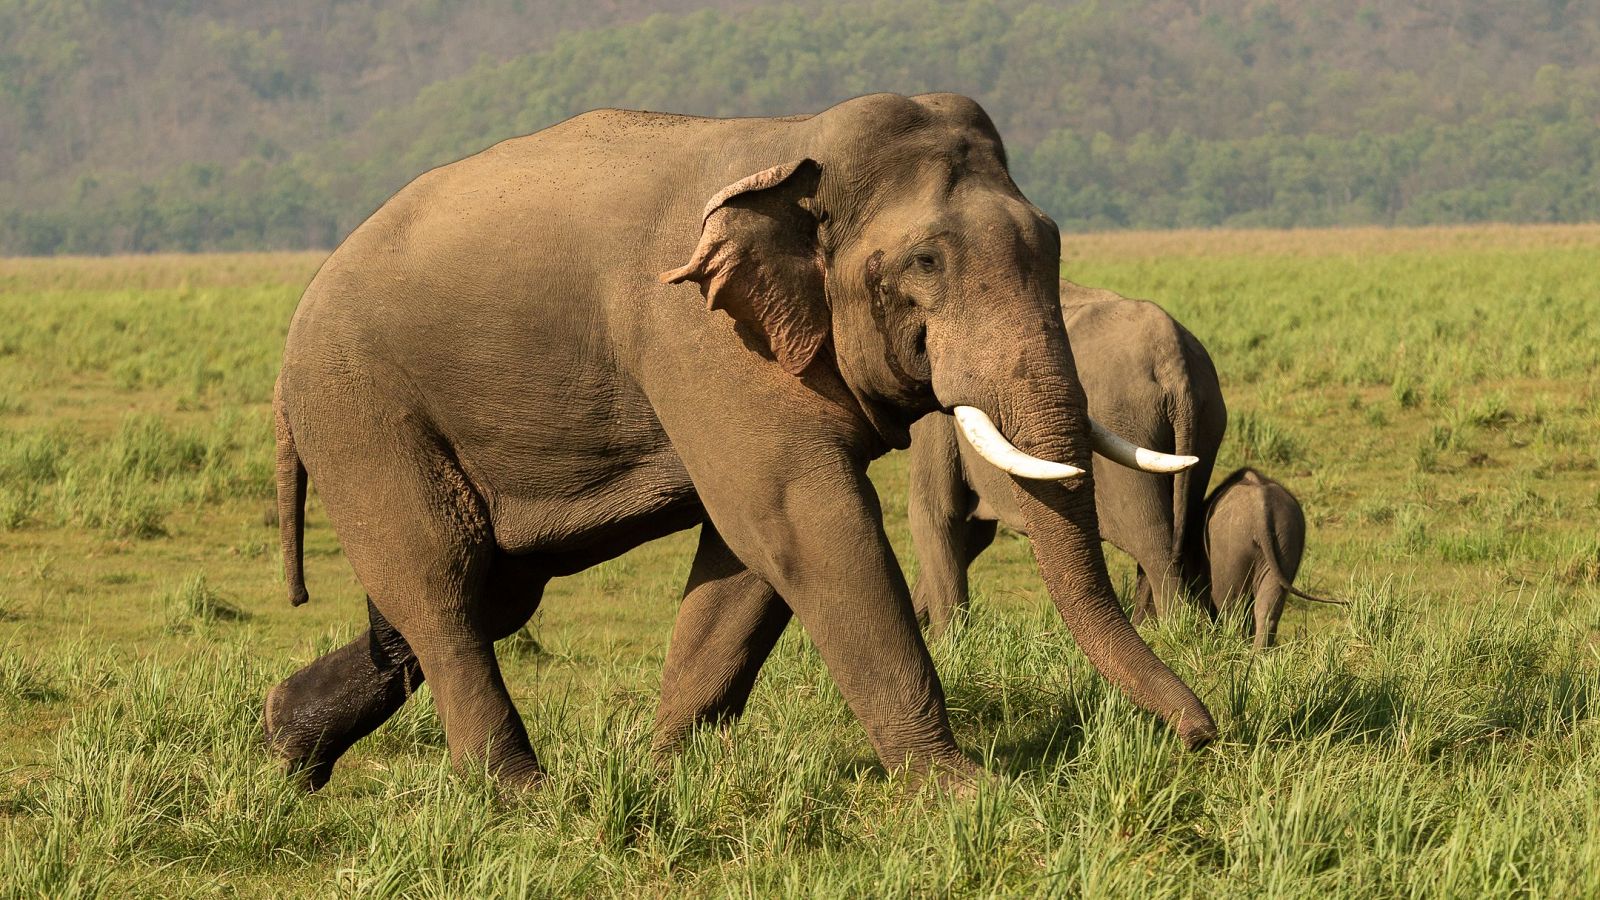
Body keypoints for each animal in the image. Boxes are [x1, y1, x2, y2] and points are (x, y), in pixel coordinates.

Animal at [909, 284, 1227, 634]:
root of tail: (1173, 360)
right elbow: (971, 532)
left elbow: (935, 515)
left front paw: (947, 640)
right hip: (1207, 420)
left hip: (1128, 425)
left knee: (1154, 545)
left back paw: (1174, 631)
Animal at [1204, 467, 1338, 649]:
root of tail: (1262, 510)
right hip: (1287, 538)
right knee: (1268, 606)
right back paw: (1257, 654)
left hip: (1230, 544)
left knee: (1230, 602)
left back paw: (1235, 648)